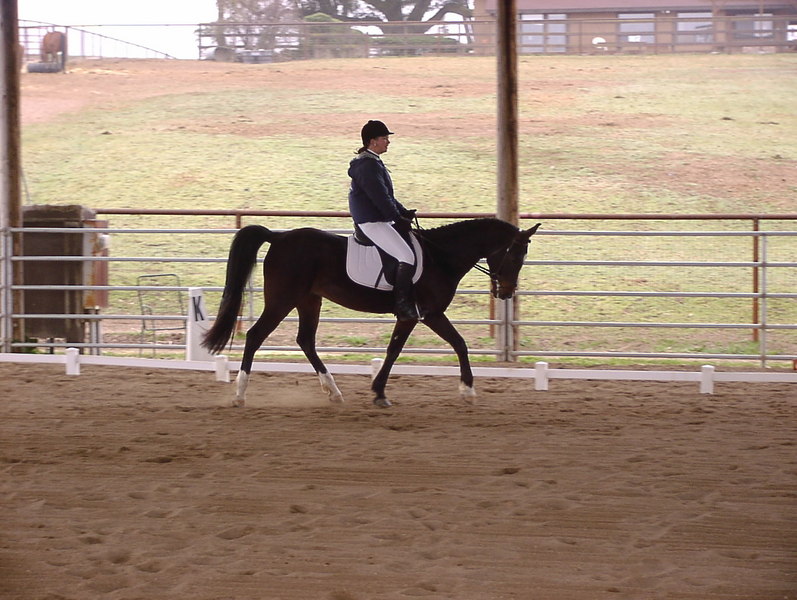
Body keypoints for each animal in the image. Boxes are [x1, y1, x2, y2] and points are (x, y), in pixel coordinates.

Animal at [202, 218, 541, 408]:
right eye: (516, 255)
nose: (506, 292)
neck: (440, 257)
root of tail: (280, 236)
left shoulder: (410, 317)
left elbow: (394, 350)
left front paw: (378, 391)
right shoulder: (427, 314)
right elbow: (458, 344)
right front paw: (467, 390)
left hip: (309, 301)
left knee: (306, 341)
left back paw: (334, 393)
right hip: (282, 300)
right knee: (256, 336)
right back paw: (240, 395)